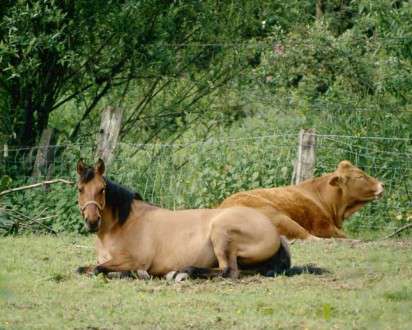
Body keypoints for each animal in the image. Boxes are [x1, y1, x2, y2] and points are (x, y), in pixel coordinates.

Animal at [75, 159, 292, 280]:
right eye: (80, 189)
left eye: (102, 189)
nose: (92, 221)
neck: (122, 225)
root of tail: (274, 231)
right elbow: (84, 268)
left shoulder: (135, 261)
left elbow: (98, 269)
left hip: (221, 232)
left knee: (228, 271)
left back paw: (183, 272)